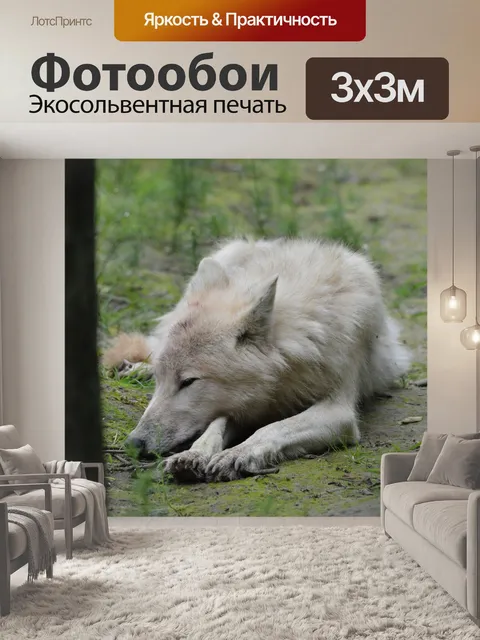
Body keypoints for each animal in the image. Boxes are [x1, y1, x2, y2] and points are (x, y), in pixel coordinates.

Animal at [103, 238, 410, 482]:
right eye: (162, 379)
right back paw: (135, 369)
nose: (133, 443)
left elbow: (271, 428)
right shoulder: (239, 404)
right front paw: (194, 454)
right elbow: (215, 427)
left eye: (188, 382)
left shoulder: (340, 412)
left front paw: (235, 455)